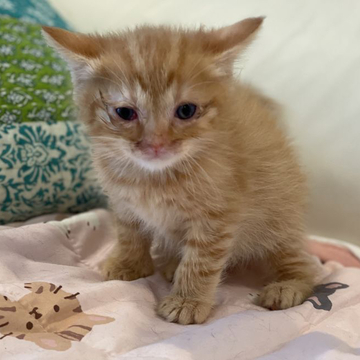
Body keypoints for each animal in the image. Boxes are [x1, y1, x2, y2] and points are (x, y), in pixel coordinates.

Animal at [44, 17, 316, 324]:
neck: (153, 178)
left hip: (278, 218)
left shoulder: (218, 216)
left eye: (186, 110)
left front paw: (188, 300)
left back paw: (288, 285)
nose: (156, 145)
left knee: (307, 266)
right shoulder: (123, 201)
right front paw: (129, 263)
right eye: (125, 113)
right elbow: (128, 232)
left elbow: (201, 261)